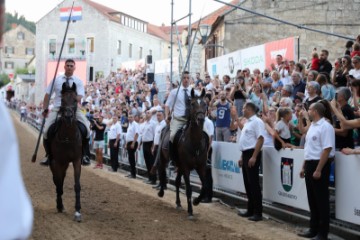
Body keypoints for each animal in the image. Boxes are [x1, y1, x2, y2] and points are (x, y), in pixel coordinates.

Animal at [158, 88, 208, 219]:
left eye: (205, 104)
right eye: (192, 103)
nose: (201, 119)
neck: (194, 143)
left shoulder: (201, 167)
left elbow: (204, 186)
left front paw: (196, 201)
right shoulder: (186, 167)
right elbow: (189, 189)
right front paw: (190, 211)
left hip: (179, 165)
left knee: (176, 182)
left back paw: (178, 203)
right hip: (164, 158)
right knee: (162, 172)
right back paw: (161, 192)